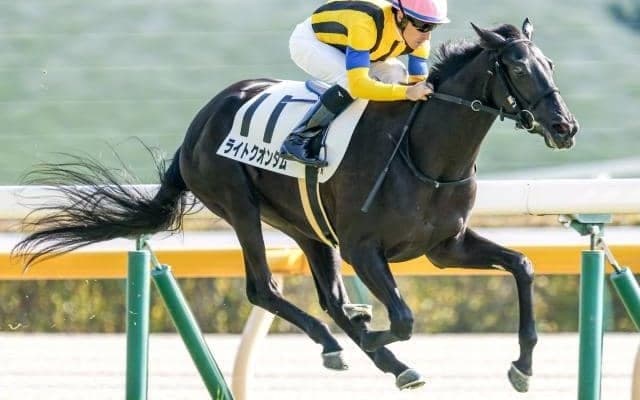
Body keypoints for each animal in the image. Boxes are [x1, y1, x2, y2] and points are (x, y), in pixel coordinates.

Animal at [13, 20, 579, 392]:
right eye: (518, 67)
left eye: (550, 64)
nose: (564, 127)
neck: (425, 154)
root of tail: (199, 124)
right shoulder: (363, 249)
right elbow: (401, 318)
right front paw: (373, 339)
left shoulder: (445, 247)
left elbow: (522, 266)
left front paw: (523, 366)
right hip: (239, 205)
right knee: (264, 288)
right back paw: (346, 346)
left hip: (304, 225)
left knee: (327, 297)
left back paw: (362, 347)